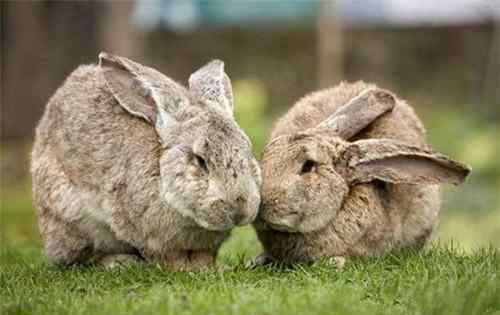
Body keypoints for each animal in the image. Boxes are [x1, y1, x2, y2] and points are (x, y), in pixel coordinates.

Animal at [30, 53, 262, 270]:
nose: (240, 209)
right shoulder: (148, 236)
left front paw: (210, 269)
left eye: (248, 150)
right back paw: (119, 262)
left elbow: (204, 256)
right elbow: (168, 257)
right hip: (72, 219)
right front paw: (185, 270)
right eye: (200, 160)